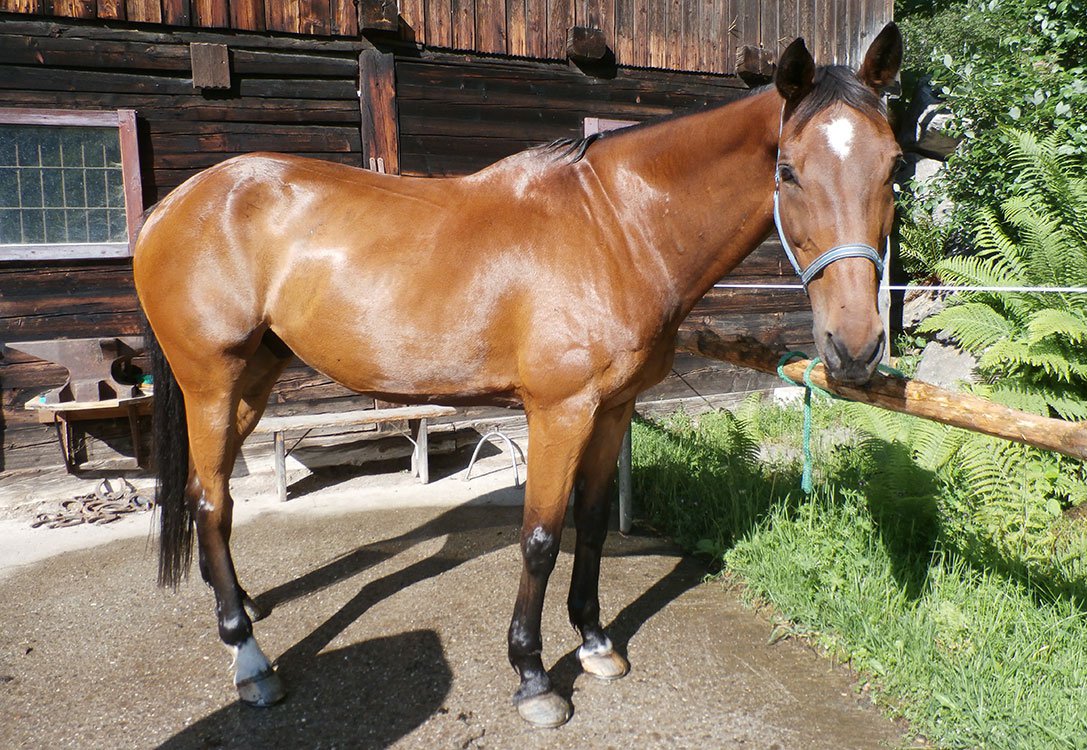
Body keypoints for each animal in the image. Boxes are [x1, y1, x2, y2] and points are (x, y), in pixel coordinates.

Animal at [133, 23, 900, 726]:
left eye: (892, 165)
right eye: (788, 169)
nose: (856, 346)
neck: (617, 229)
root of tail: (172, 206)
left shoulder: (612, 408)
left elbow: (591, 523)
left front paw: (594, 642)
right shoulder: (559, 411)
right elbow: (540, 538)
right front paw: (533, 677)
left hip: (253, 382)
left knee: (208, 497)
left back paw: (239, 609)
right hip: (212, 383)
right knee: (212, 503)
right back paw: (250, 659)